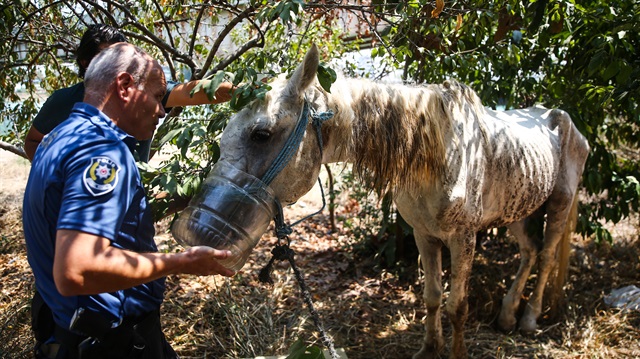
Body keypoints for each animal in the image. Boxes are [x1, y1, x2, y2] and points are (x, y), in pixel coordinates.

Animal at [219, 45, 592, 359]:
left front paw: (456, 352)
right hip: (517, 209)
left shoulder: (464, 238)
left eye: (261, 134)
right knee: (529, 252)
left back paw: (528, 320)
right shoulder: (423, 234)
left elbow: (457, 306)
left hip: (560, 203)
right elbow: (432, 297)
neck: (437, 153)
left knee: (546, 256)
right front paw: (429, 349)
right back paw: (507, 316)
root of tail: (568, 123)